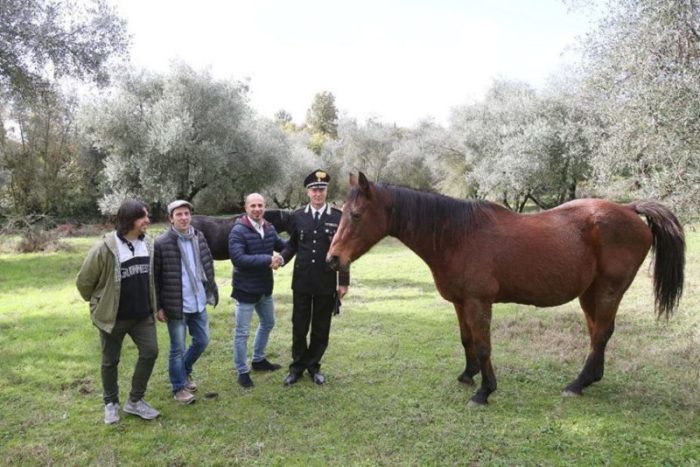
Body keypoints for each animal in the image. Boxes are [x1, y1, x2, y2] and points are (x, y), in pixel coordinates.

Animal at [327, 172, 685, 405]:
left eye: (356, 214)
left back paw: (577, 383)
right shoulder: (460, 303)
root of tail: (628, 209)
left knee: (601, 334)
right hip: (590, 294)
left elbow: (484, 345)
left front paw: (484, 391)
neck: (457, 235)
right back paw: (590, 379)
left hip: (609, 291)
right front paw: (468, 375)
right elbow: (467, 340)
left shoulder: (478, 302)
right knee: (598, 332)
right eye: (342, 213)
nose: (333, 259)